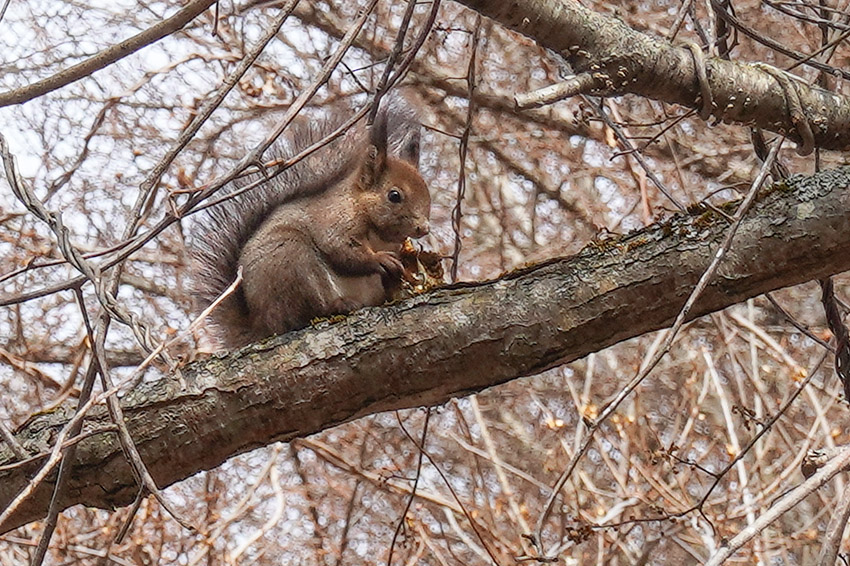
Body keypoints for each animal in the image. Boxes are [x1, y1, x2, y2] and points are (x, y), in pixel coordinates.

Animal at [192, 95, 430, 348]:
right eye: (394, 195)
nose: (424, 228)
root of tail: (260, 324)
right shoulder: (332, 220)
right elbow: (342, 250)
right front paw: (380, 260)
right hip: (293, 261)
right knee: (306, 312)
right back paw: (338, 305)